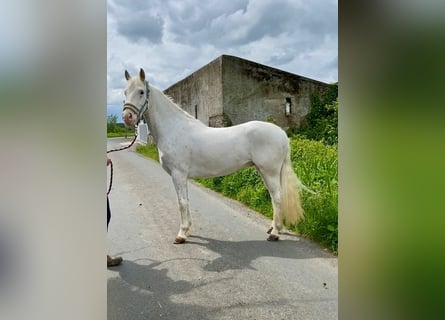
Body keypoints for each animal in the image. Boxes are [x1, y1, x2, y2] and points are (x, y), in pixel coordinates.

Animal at [121, 67, 304, 242]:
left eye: (141, 92)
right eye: (125, 92)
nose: (127, 117)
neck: (174, 128)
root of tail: (281, 133)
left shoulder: (178, 174)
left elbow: (182, 203)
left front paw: (181, 234)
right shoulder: (180, 176)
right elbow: (185, 201)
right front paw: (188, 230)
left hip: (269, 171)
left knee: (277, 197)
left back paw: (275, 234)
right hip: (263, 171)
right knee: (273, 197)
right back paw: (273, 228)